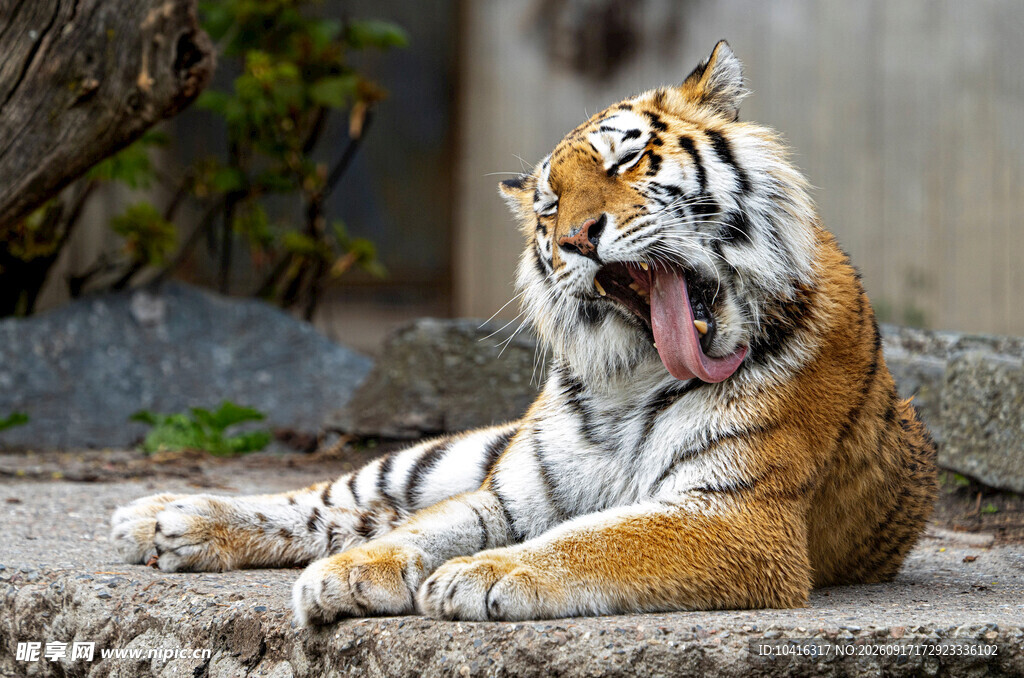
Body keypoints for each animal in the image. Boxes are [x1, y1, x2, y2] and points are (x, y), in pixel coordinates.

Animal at [111, 41, 937, 623]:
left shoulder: (737, 516)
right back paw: (161, 516)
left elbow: (601, 538)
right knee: (348, 499)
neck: (636, 376)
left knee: (360, 512)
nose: (575, 239)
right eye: (547, 204)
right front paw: (351, 575)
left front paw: (484, 575)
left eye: (627, 158)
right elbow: (420, 529)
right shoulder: (510, 497)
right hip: (459, 454)